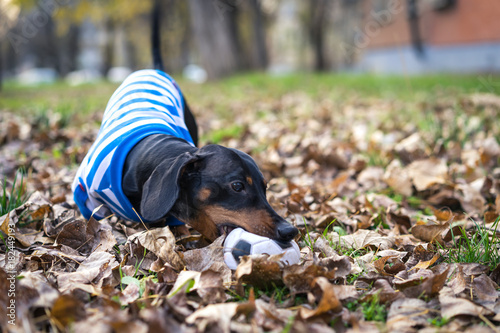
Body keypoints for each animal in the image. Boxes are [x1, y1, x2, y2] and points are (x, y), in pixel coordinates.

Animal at [71, 1, 296, 243]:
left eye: (266, 187)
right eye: (237, 186)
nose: (290, 230)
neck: (149, 152)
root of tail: (155, 69)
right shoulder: (86, 197)